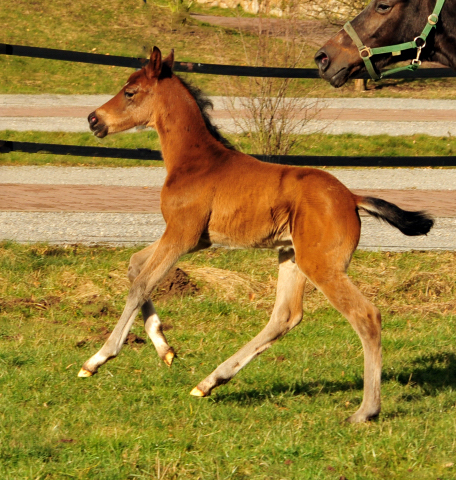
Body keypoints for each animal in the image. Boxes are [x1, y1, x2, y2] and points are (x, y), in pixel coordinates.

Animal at [80, 47, 432, 424]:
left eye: (130, 92)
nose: (93, 120)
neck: (195, 161)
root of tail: (351, 198)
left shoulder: (182, 235)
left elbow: (141, 285)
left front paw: (97, 359)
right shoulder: (192, 238)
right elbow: (135, 265)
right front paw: (166, 350)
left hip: (322, 266)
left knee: (366, 316)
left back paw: (366, 410)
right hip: (291, 255)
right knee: (285, 316)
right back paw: (209, 382)